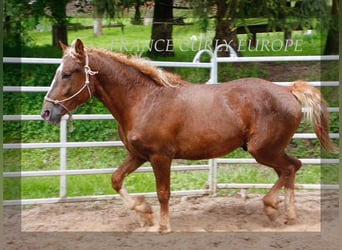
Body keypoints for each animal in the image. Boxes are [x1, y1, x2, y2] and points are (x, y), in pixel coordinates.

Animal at [40, 39, 336, 232]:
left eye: (68, 74)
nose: (46, 112)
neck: (143, 101)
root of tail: (288, 90)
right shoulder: (138, 155)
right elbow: (115, 180)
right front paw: (144, 214)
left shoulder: (161, 156)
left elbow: (163, 192)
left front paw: (162, 226)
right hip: (269, 150)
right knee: (292, 168)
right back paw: (288, 215)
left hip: (263, 150)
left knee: (289, 169)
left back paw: (272, 209)